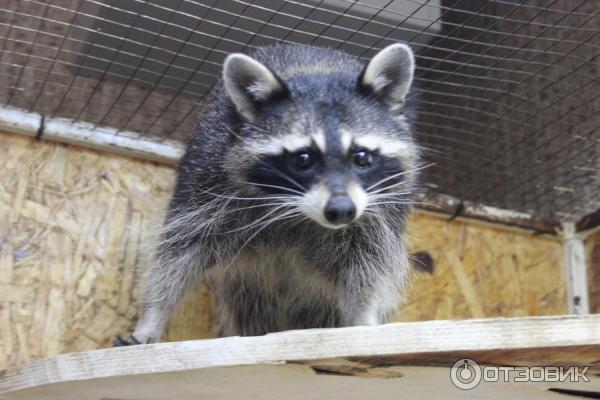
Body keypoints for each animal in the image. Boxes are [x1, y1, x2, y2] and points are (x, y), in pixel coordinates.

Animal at [115, 42, 420, 346]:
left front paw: (362, 315)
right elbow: (178, 252)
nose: (342, 210)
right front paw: (153, 316)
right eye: (303, 159)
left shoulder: (379, 210)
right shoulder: (207, 181)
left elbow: (369, 263)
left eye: (361, 157)